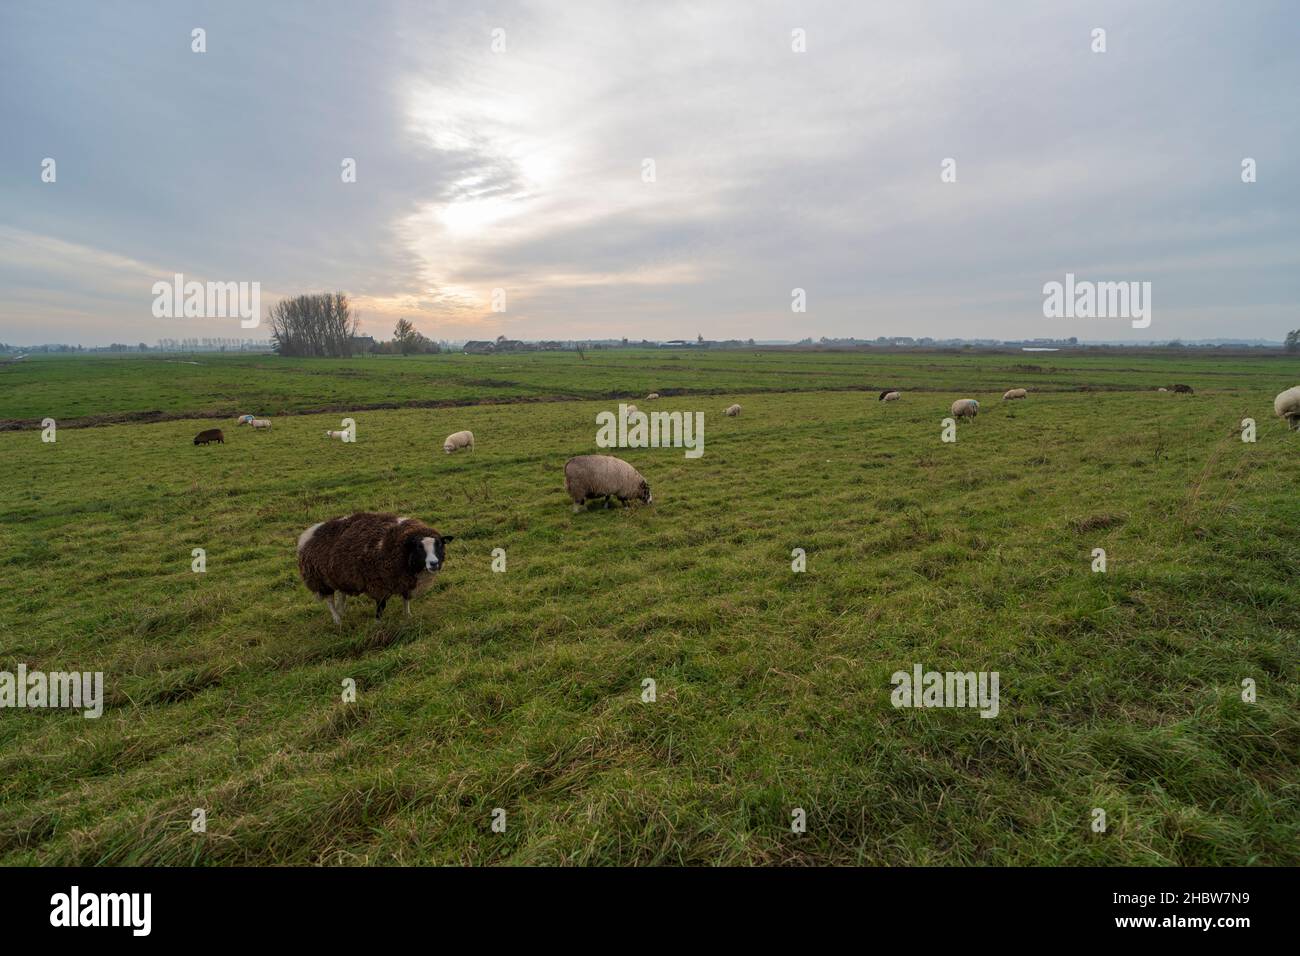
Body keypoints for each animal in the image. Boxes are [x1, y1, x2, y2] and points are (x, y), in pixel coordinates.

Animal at [297, 512, 454, 624]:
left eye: (440, 545)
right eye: (419, 547)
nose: (434, 563)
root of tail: (309, 534)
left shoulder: (405, 581)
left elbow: (406, 599)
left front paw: (408, 616)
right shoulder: (379, 585)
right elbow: (381, 605)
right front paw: (378, 623)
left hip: (339, 576)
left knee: (342, 594)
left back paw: (342, 612)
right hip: (320, 580)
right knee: (329, 601)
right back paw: (337, 620)